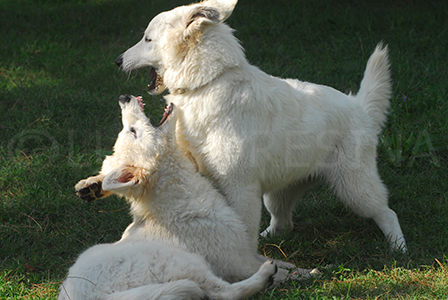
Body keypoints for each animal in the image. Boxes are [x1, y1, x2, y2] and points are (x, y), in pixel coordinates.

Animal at [114, 0, 406, 251]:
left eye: (147, 39)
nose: (117, 61)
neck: (207, 84)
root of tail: (358, 105)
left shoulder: (240, 189)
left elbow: (242, 228)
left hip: (355, 187)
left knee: (387, 211)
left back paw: (398, 248)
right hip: (279, 193)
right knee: (283, 223)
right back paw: (269, 239)